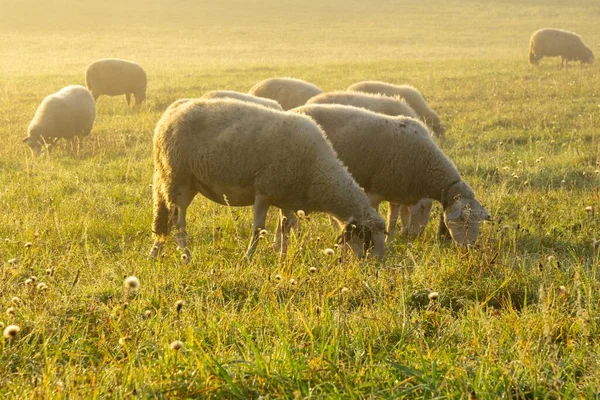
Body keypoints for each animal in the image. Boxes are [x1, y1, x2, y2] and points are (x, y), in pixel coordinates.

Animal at [150, 99, 384, 262]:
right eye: (367, 237)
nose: (377, 265)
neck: (317, 171)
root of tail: (170, 113)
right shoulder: (264, 191)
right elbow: (258, 230)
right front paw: (248, 259)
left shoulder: (285, 197)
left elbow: (285, 229)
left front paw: (283, 259)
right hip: (177, 178)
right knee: (177, 222)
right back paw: (186, 257)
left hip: (185, 183)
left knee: (166, 219)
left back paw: (155, 254)